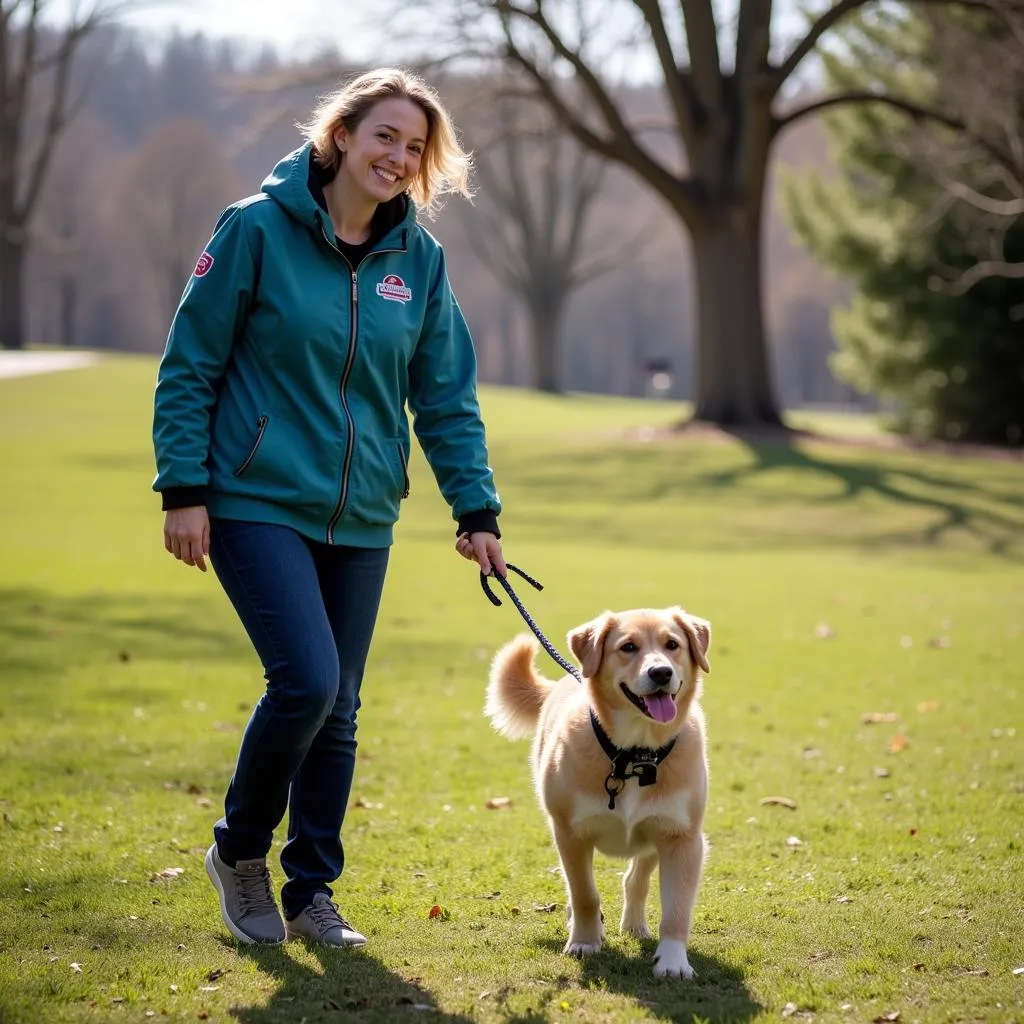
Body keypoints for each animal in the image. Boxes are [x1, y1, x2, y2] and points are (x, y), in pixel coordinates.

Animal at [481, 602, 708, 978]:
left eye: (672, 644)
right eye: (628, 647)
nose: (661, 672)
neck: (633, 755)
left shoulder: (683, 838)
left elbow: (677, 909)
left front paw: (673, 960)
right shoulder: (570, 834)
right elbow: (584, 894)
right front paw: (585, 942)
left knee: (636, 879)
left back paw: (635, 925)